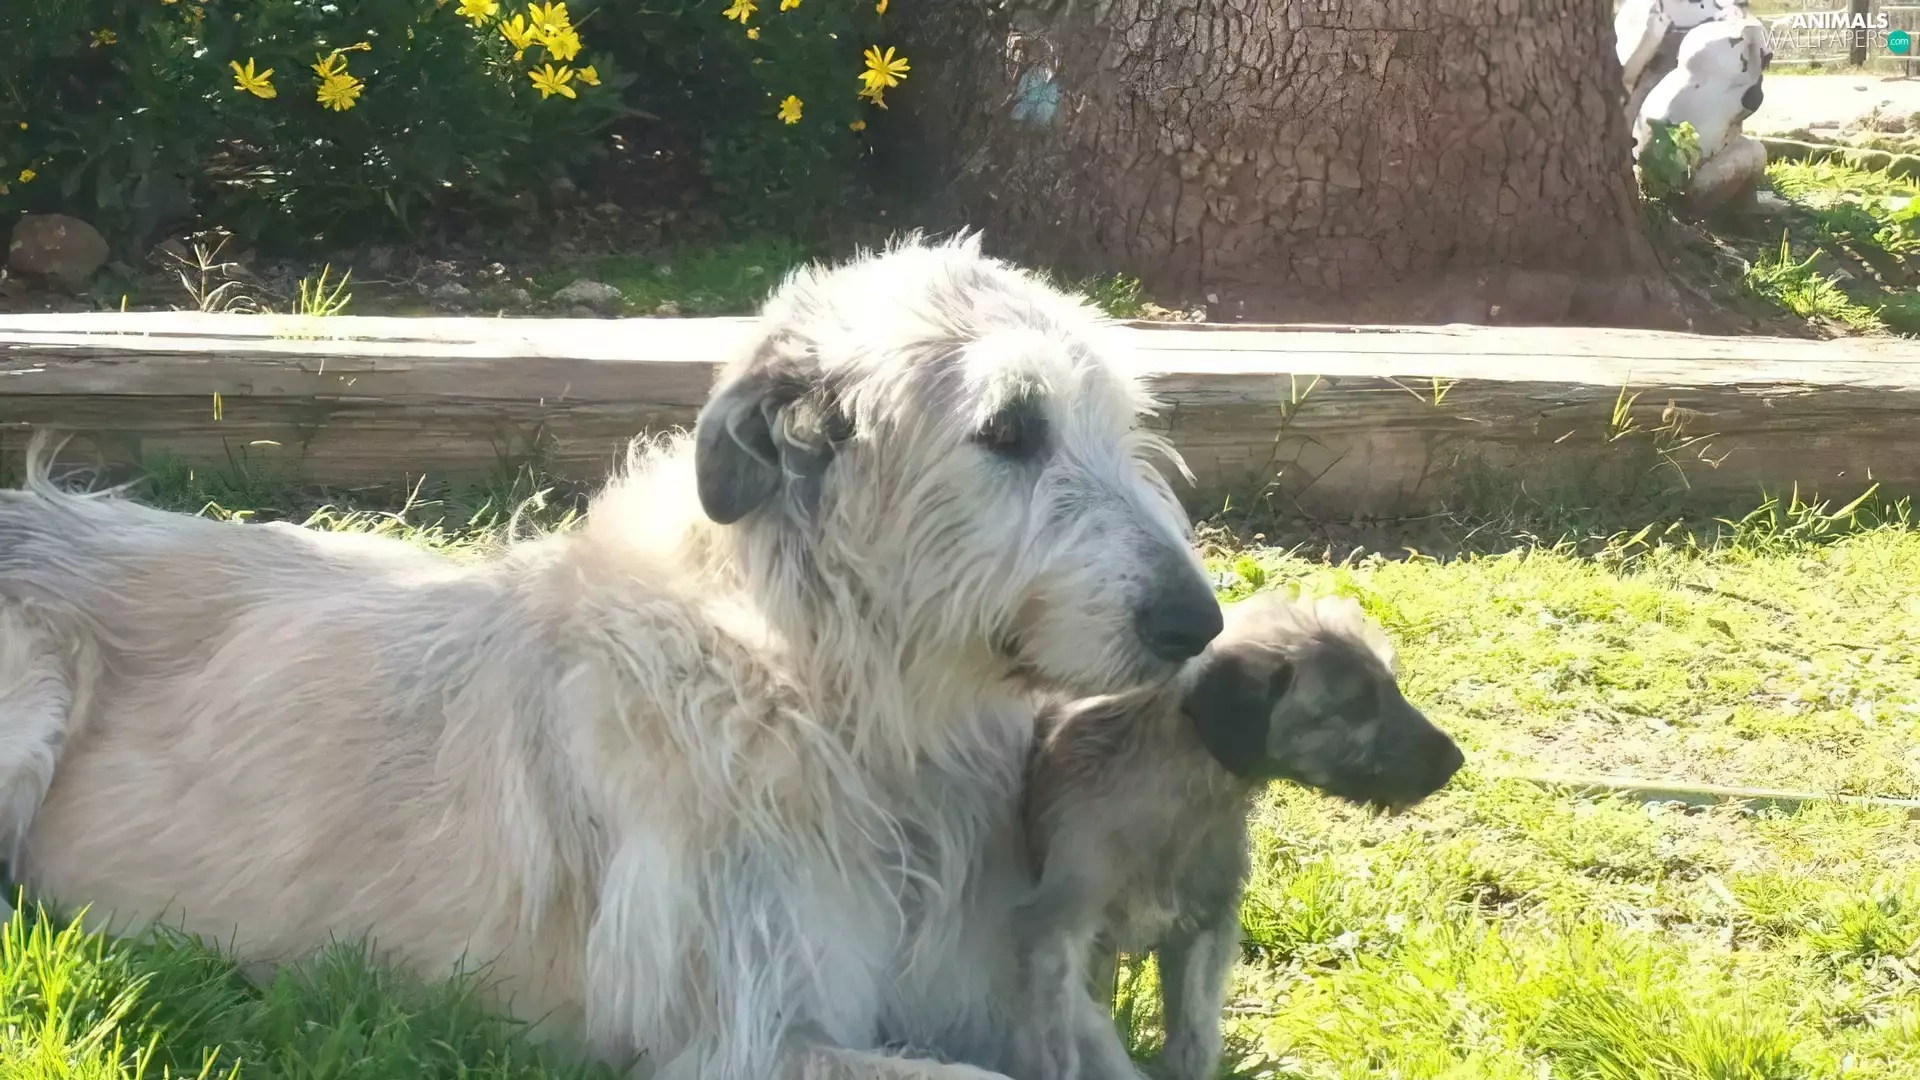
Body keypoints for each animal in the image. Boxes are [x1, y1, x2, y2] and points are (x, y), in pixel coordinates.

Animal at [0, 234, 1222, 1080]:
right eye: (1009, 430)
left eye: (1123, 423)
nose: (1200, 624)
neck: (833, 694)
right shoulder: (743, 1036)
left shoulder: (991, 986)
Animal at [1012, 590, 1464, 1080]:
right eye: (1354, 705)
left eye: (1390, 686)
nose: (1455, 760)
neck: (1182, 797)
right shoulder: (1064, 939)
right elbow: (1083, 1039)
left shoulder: (1204, 926)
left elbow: (1193, 1038)